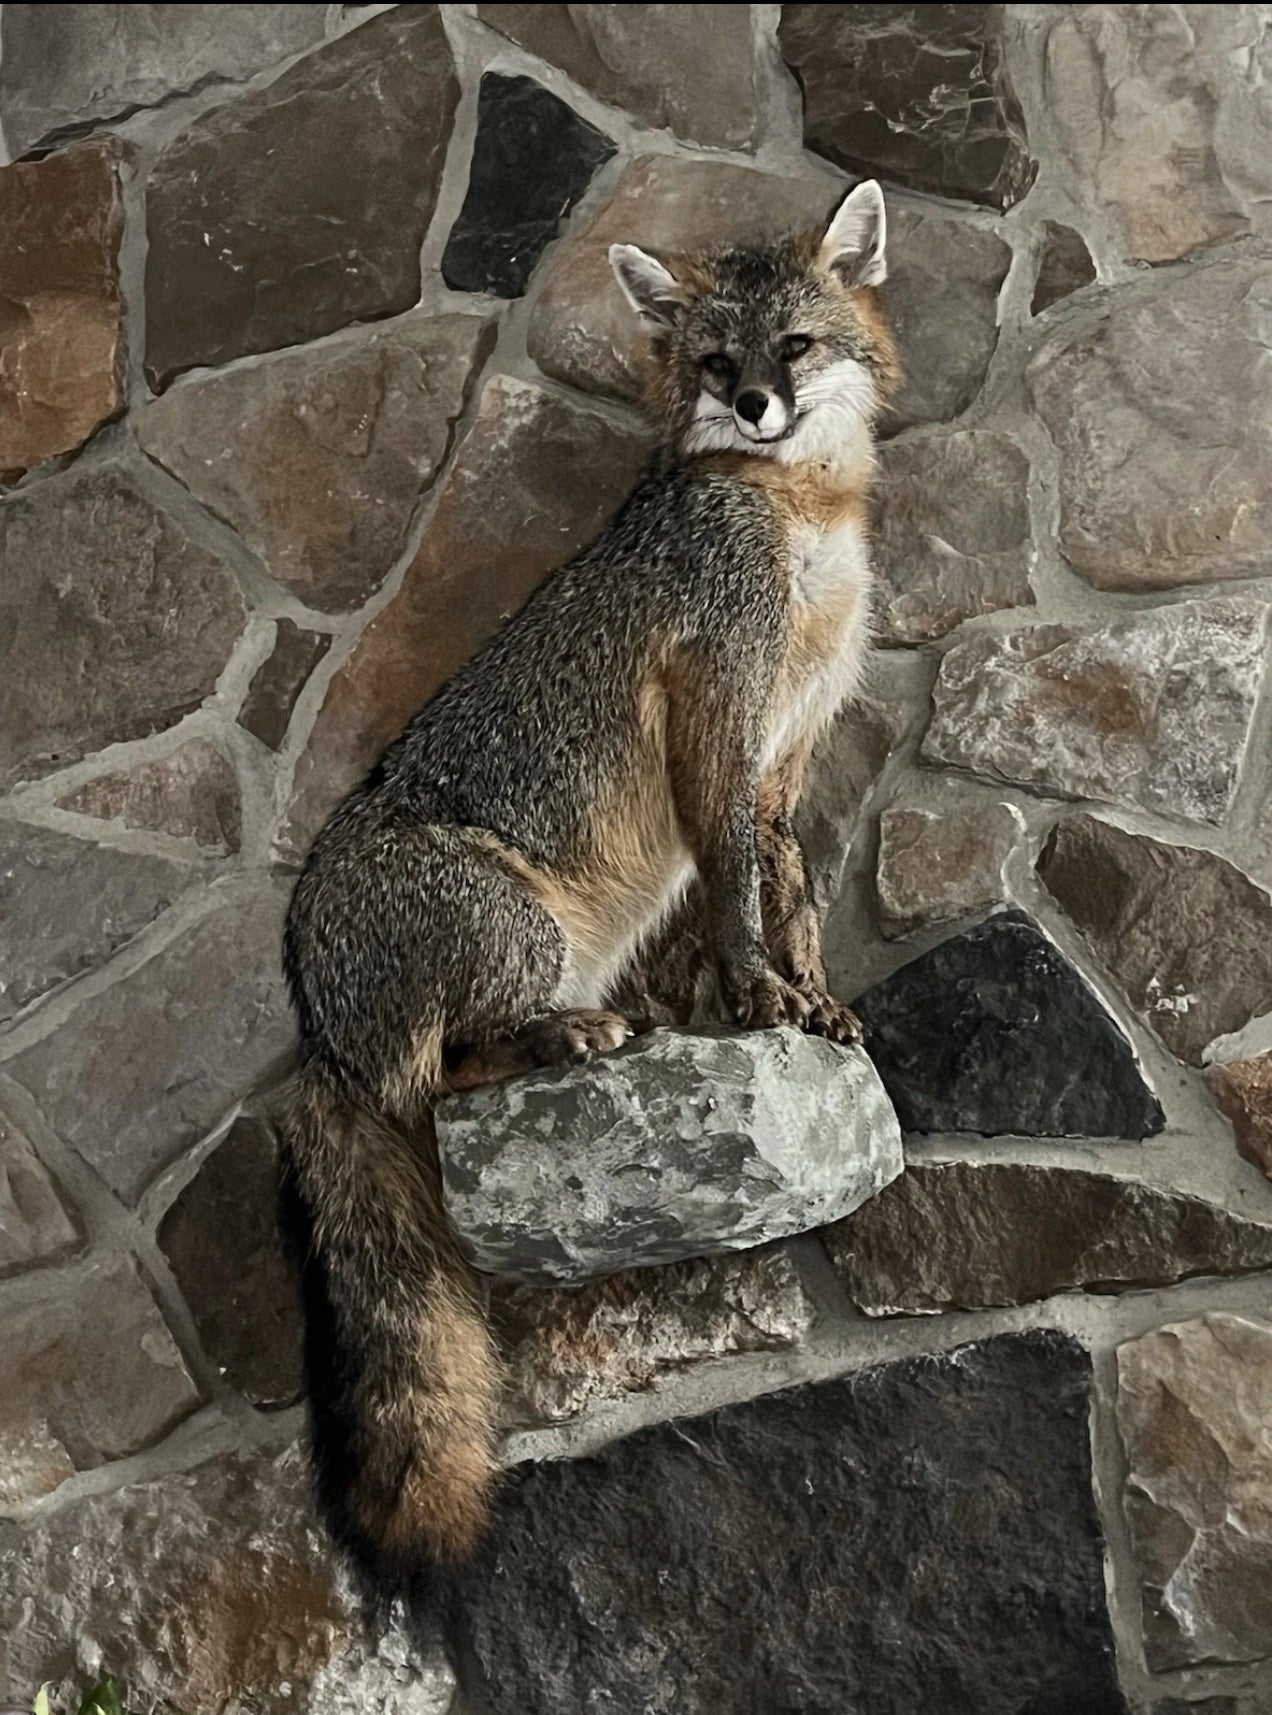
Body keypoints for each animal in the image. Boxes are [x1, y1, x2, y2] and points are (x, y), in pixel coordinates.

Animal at [279, 178, 900, 1577]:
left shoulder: (788, 747)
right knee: (444, 1070)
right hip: (515, 928)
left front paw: (812, 997)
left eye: (794, 348)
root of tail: (311, 1026)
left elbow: (789, 887)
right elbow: (732, 885)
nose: (755, 407)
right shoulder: (722, 713)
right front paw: (755, 998)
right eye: (719, 363)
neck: (800, 515)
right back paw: (567, 1035)